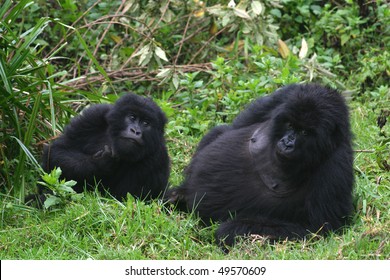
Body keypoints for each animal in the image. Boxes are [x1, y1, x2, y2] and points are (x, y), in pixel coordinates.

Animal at [32, 93, 169, 201]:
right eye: (132, 117)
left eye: (146, 123)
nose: (135, 131)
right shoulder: (93, 115)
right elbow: (58, 150)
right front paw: (100, 163)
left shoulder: (157, 156)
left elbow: (124, 199)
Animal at [168, 83, 354, 247]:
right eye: (290, 124)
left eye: (305, 132)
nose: (287, 143)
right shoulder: (286, 95)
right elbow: (231, 127)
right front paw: (179, 191)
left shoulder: (336, 166)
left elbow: (316, 229)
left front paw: (233, 230)